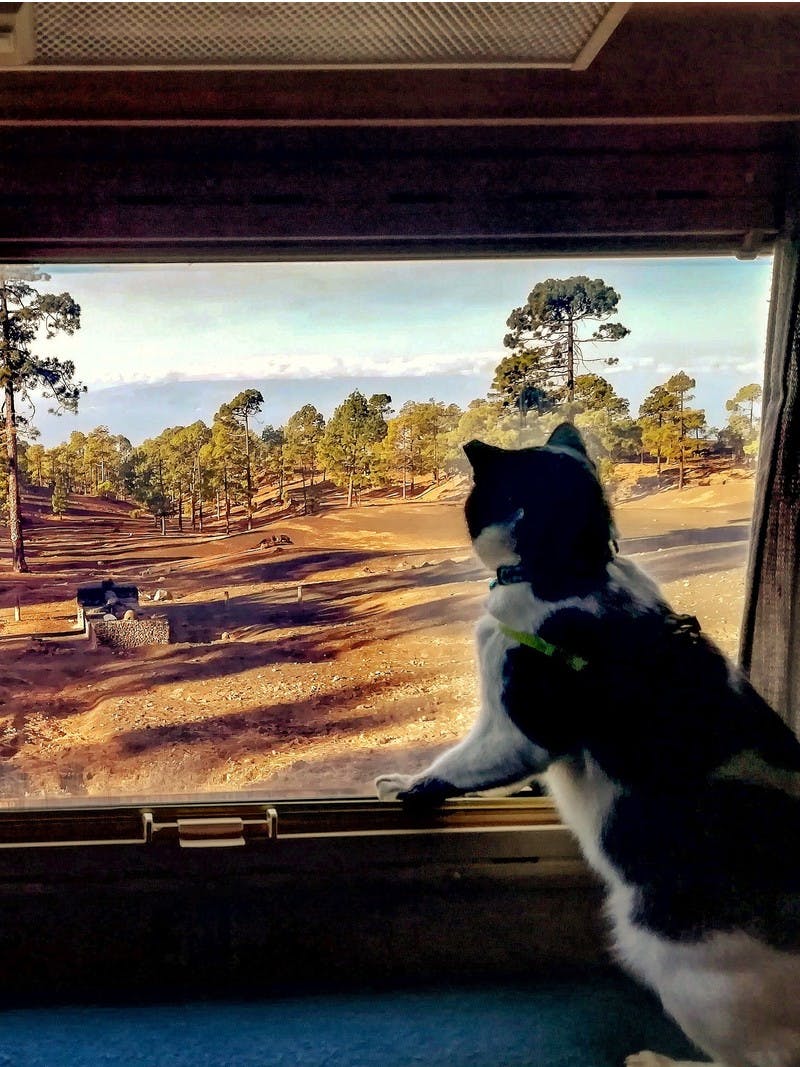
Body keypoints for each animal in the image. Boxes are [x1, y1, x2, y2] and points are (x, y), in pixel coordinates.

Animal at [375, 420, 800, 1067]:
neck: (574, 572)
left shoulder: (520, 729)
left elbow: (459, 765)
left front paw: (408, 785)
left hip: (680, 962)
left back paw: (654, 1061)